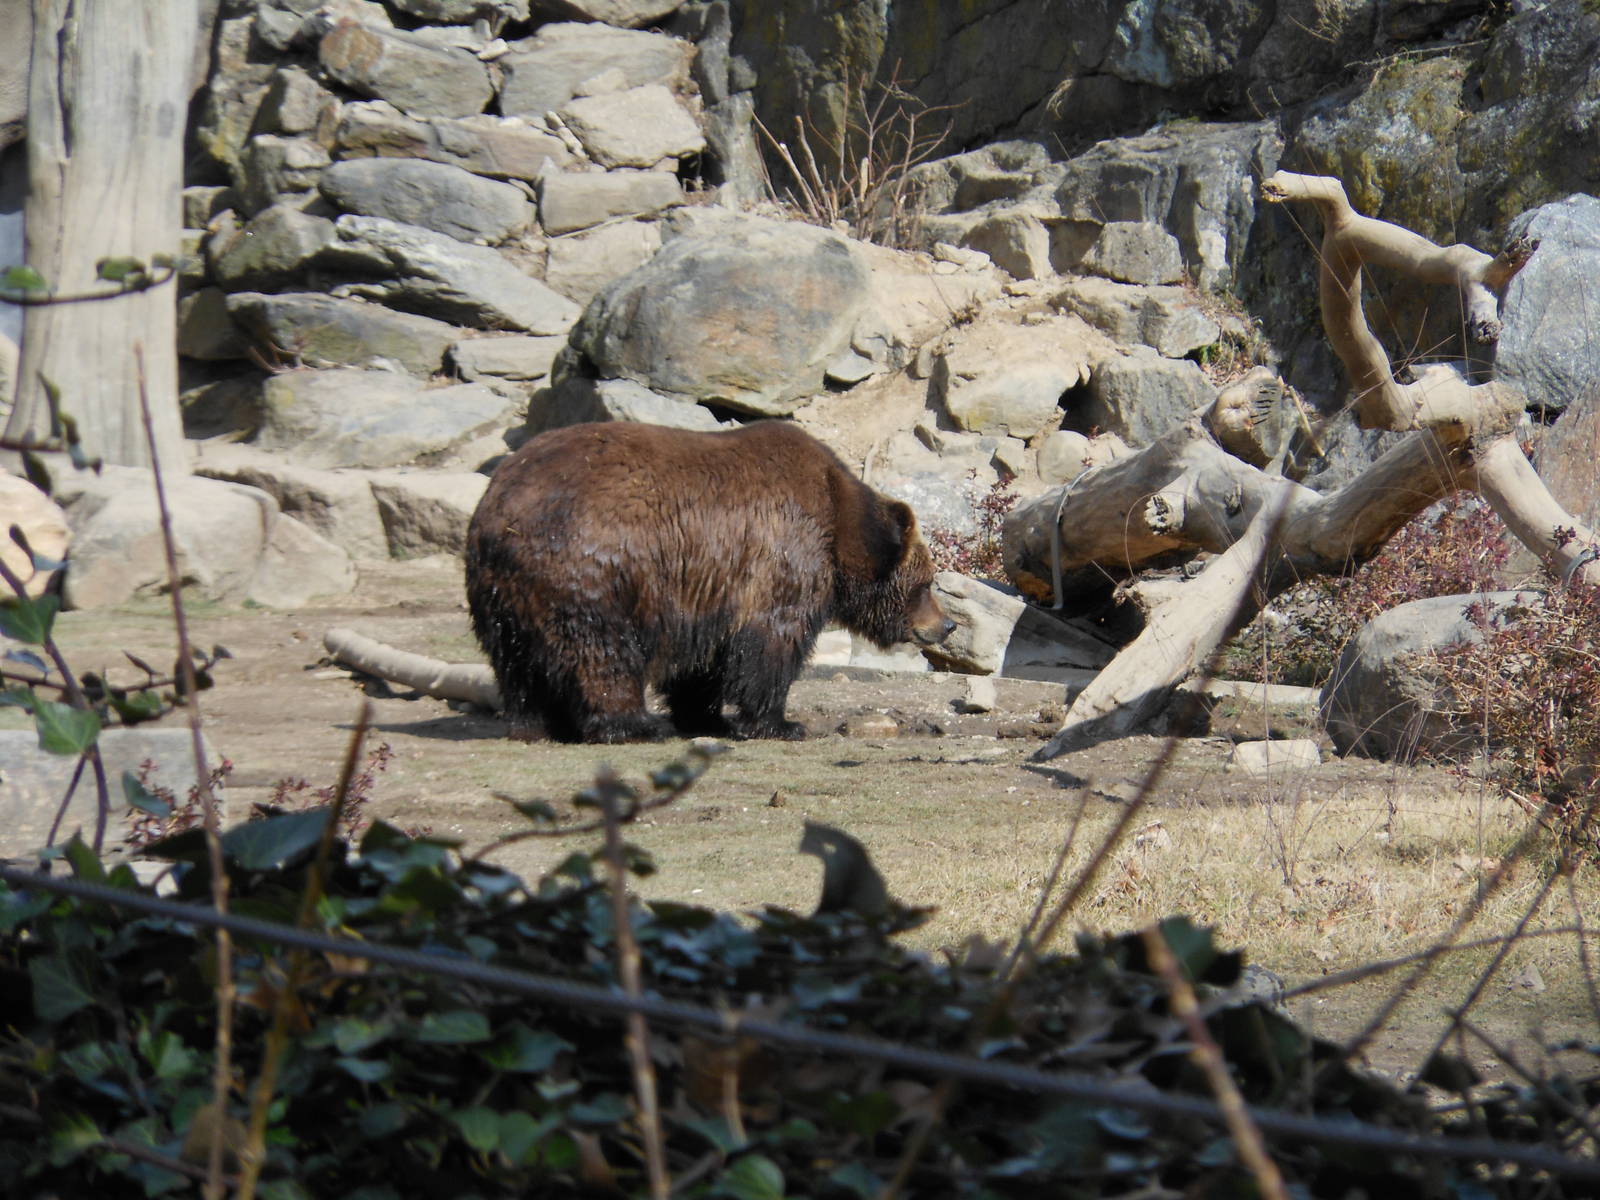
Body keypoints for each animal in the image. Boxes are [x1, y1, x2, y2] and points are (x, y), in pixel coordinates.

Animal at [464, 420, 954, 743]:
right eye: (928, 582)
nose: (946, 625)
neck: (840, 526)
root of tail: (496, 511)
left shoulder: (708, 594)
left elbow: (703, 665)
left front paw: (706, 717)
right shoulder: (781, 554)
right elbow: (772, 640)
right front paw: (781, 723)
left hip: (505, 595)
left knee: (519, 663)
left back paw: (541, 723)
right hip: (591, 569)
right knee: (600, 651)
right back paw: (633, 724)